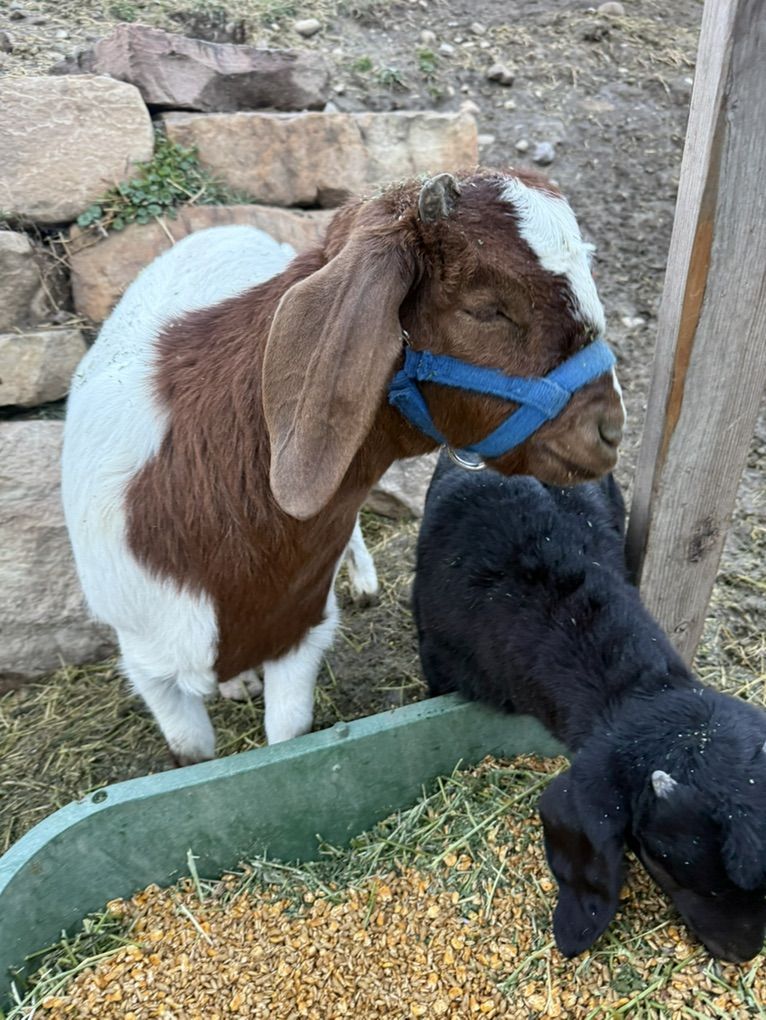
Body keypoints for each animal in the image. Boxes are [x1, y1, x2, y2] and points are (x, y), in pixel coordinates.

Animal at [62, 168, 624, 766]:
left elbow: (286, 740)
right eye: (488, 308)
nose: (611, 430)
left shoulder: (300, 630)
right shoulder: (149, 664)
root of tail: (226, 227)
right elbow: (195, 757)